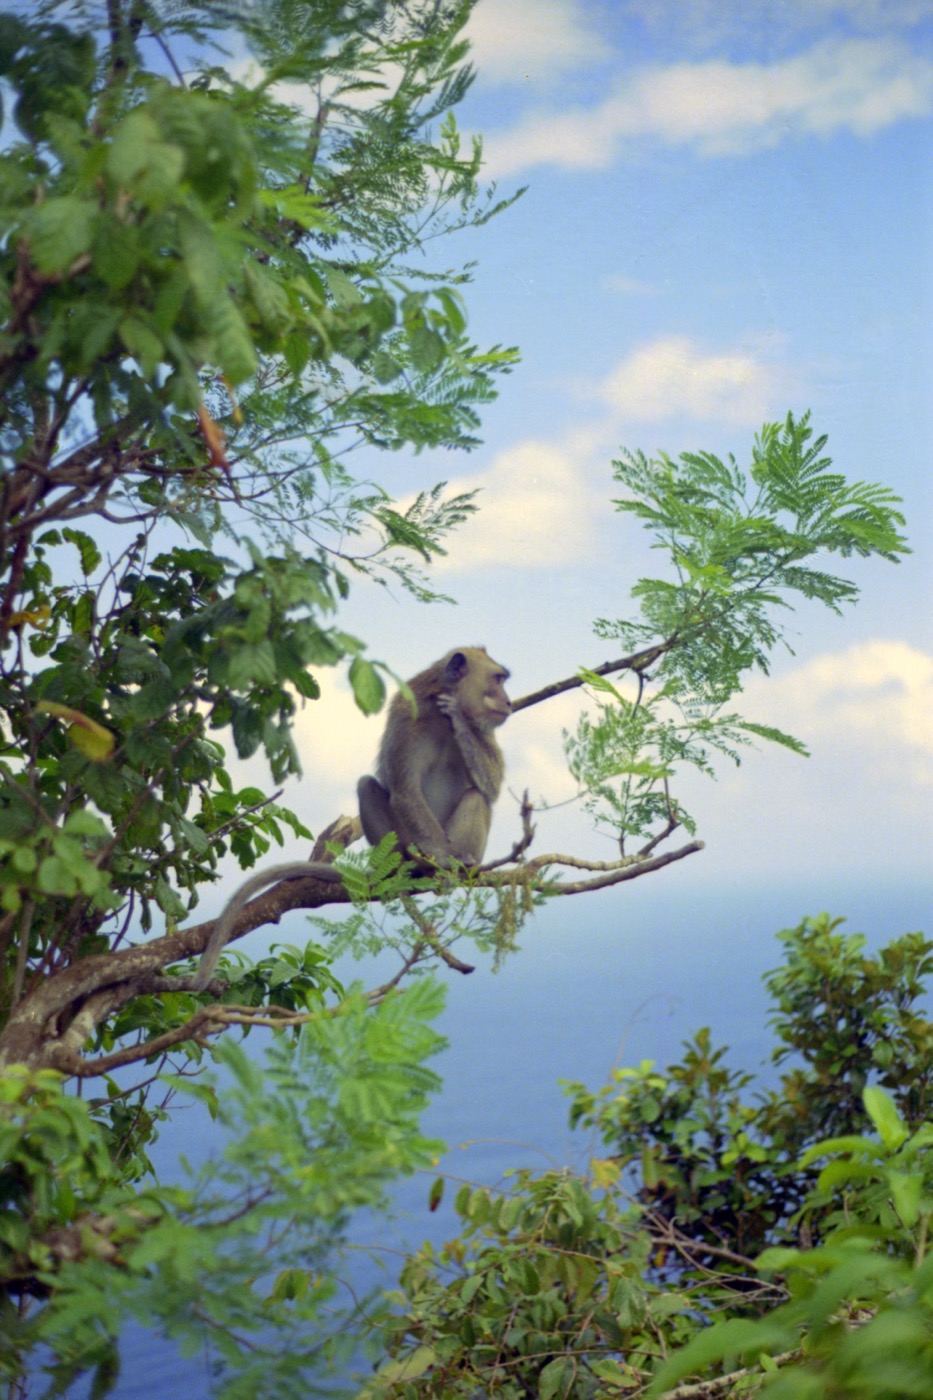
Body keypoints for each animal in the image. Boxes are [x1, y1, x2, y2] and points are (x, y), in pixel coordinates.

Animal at [357, 645, 511, 868]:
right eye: (498, 679)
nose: (508, 702)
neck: (440, 716)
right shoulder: (407, 720)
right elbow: (406, 793)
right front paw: (441, 856)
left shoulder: (482, 726)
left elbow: (493, 784)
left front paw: (458, 718)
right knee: (366, 785)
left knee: (476, 796)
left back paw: (463, 863)